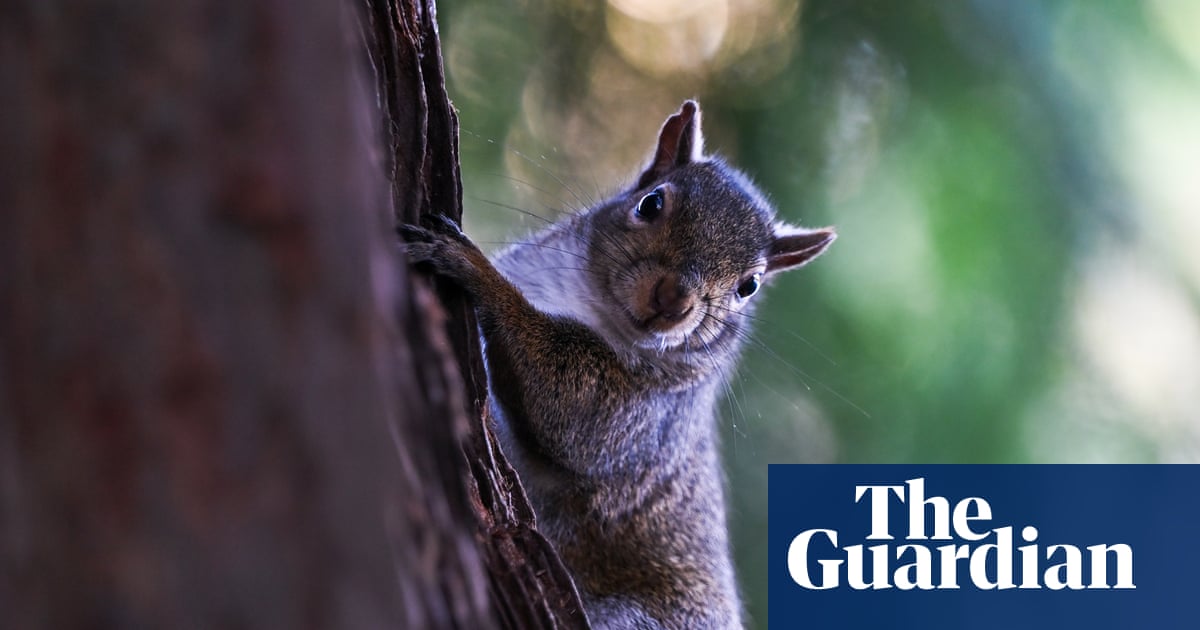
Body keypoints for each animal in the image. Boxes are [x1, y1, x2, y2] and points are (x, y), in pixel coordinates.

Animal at [402, 100, 835, 629]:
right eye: (651, 204)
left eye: (748, 286)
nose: (674, 299)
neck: (597, 309)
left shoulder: (644, 416)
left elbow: (571, 412)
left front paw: (473, 268)